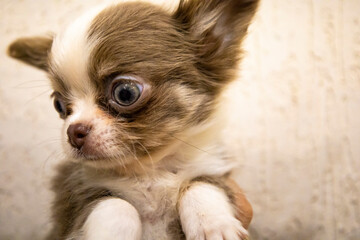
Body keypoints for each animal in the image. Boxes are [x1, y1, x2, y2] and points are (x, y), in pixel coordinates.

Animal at [7, 0, 258, 238]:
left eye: (125, 93)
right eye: (59, 105)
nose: (73, 132)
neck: (150, 170)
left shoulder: (214, 168)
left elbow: (200, 184)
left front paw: (215, 226)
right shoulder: (75, 196)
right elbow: (117, 206)